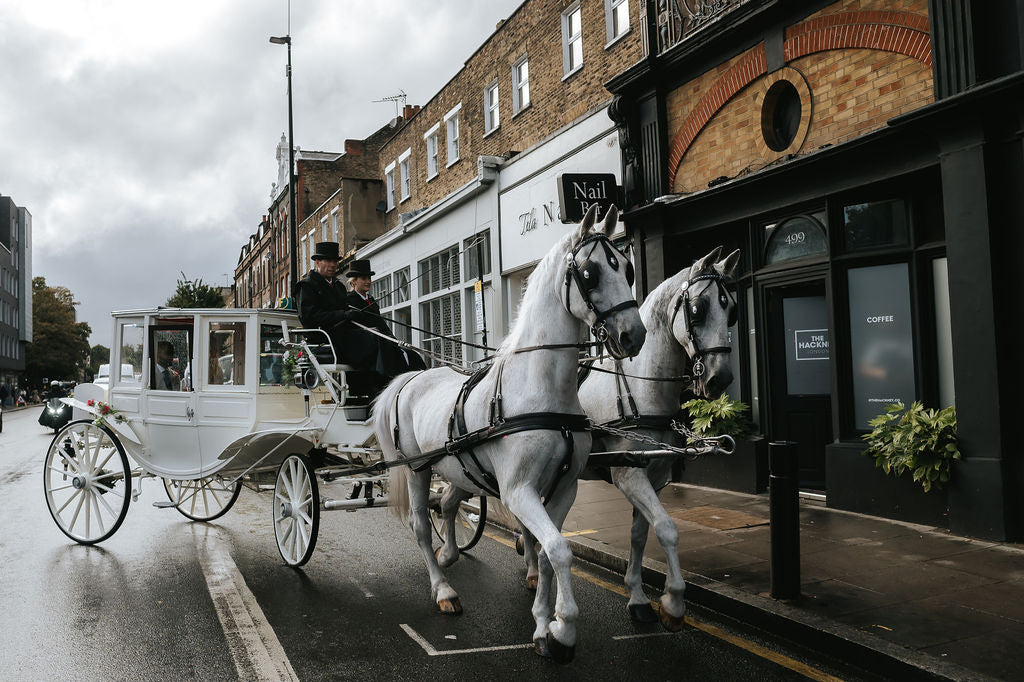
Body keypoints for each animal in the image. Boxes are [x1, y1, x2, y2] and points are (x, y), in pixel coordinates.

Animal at [374, 202, 647, 659]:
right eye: (589, 273)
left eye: (627, 268)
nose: (634, 335)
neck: (540, 390)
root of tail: (412, 377)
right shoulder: (518, 490)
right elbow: (559, 548)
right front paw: (563, 628)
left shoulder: (564, 487)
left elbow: (548, 548)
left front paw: (542, 620)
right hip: (417, 468)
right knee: (420, 525)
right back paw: (443, 588)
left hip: (455, 467)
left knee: (447, 504)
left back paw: (449, 555)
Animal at [524, 244, 741, 626]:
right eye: (697, 310)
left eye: (731, 311)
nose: (720, 379)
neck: (641, 384)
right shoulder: (628, 474)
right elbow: (667, 528)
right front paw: (673, 600)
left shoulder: (655, 475)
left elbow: (641, 534)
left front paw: (638, 597)